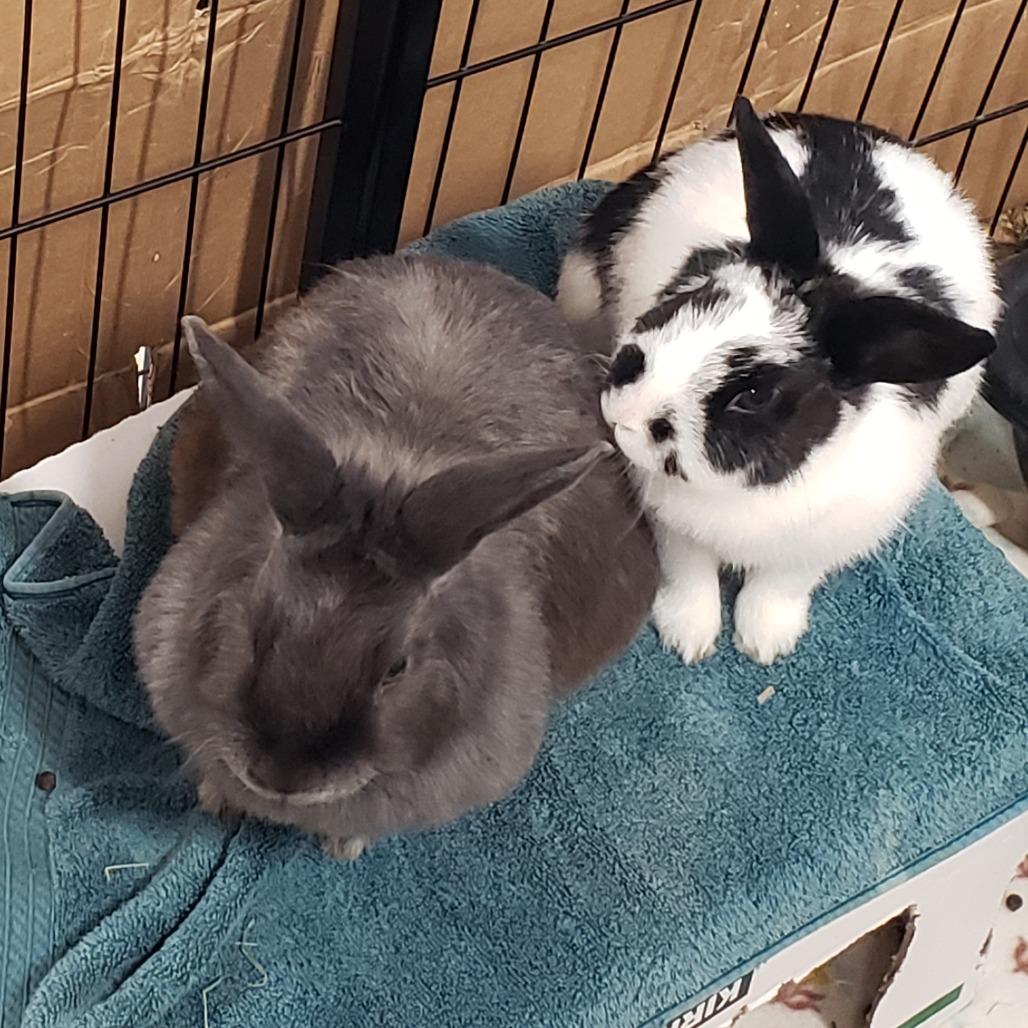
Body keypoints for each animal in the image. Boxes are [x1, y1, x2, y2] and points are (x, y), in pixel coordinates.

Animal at [134, 254, 658, 857]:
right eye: (252, 626)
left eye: (397, 668)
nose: (281, 777)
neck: (391, 463)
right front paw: (217, 797)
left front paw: (345, 844)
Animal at [557, 97, 998, 665]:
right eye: (694, 297)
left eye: (754, 394)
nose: (625, 415)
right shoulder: (675, 526)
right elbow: (688, 574)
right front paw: (689, 638)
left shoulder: (818, 543)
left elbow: (780, 586)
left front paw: (765, 642)